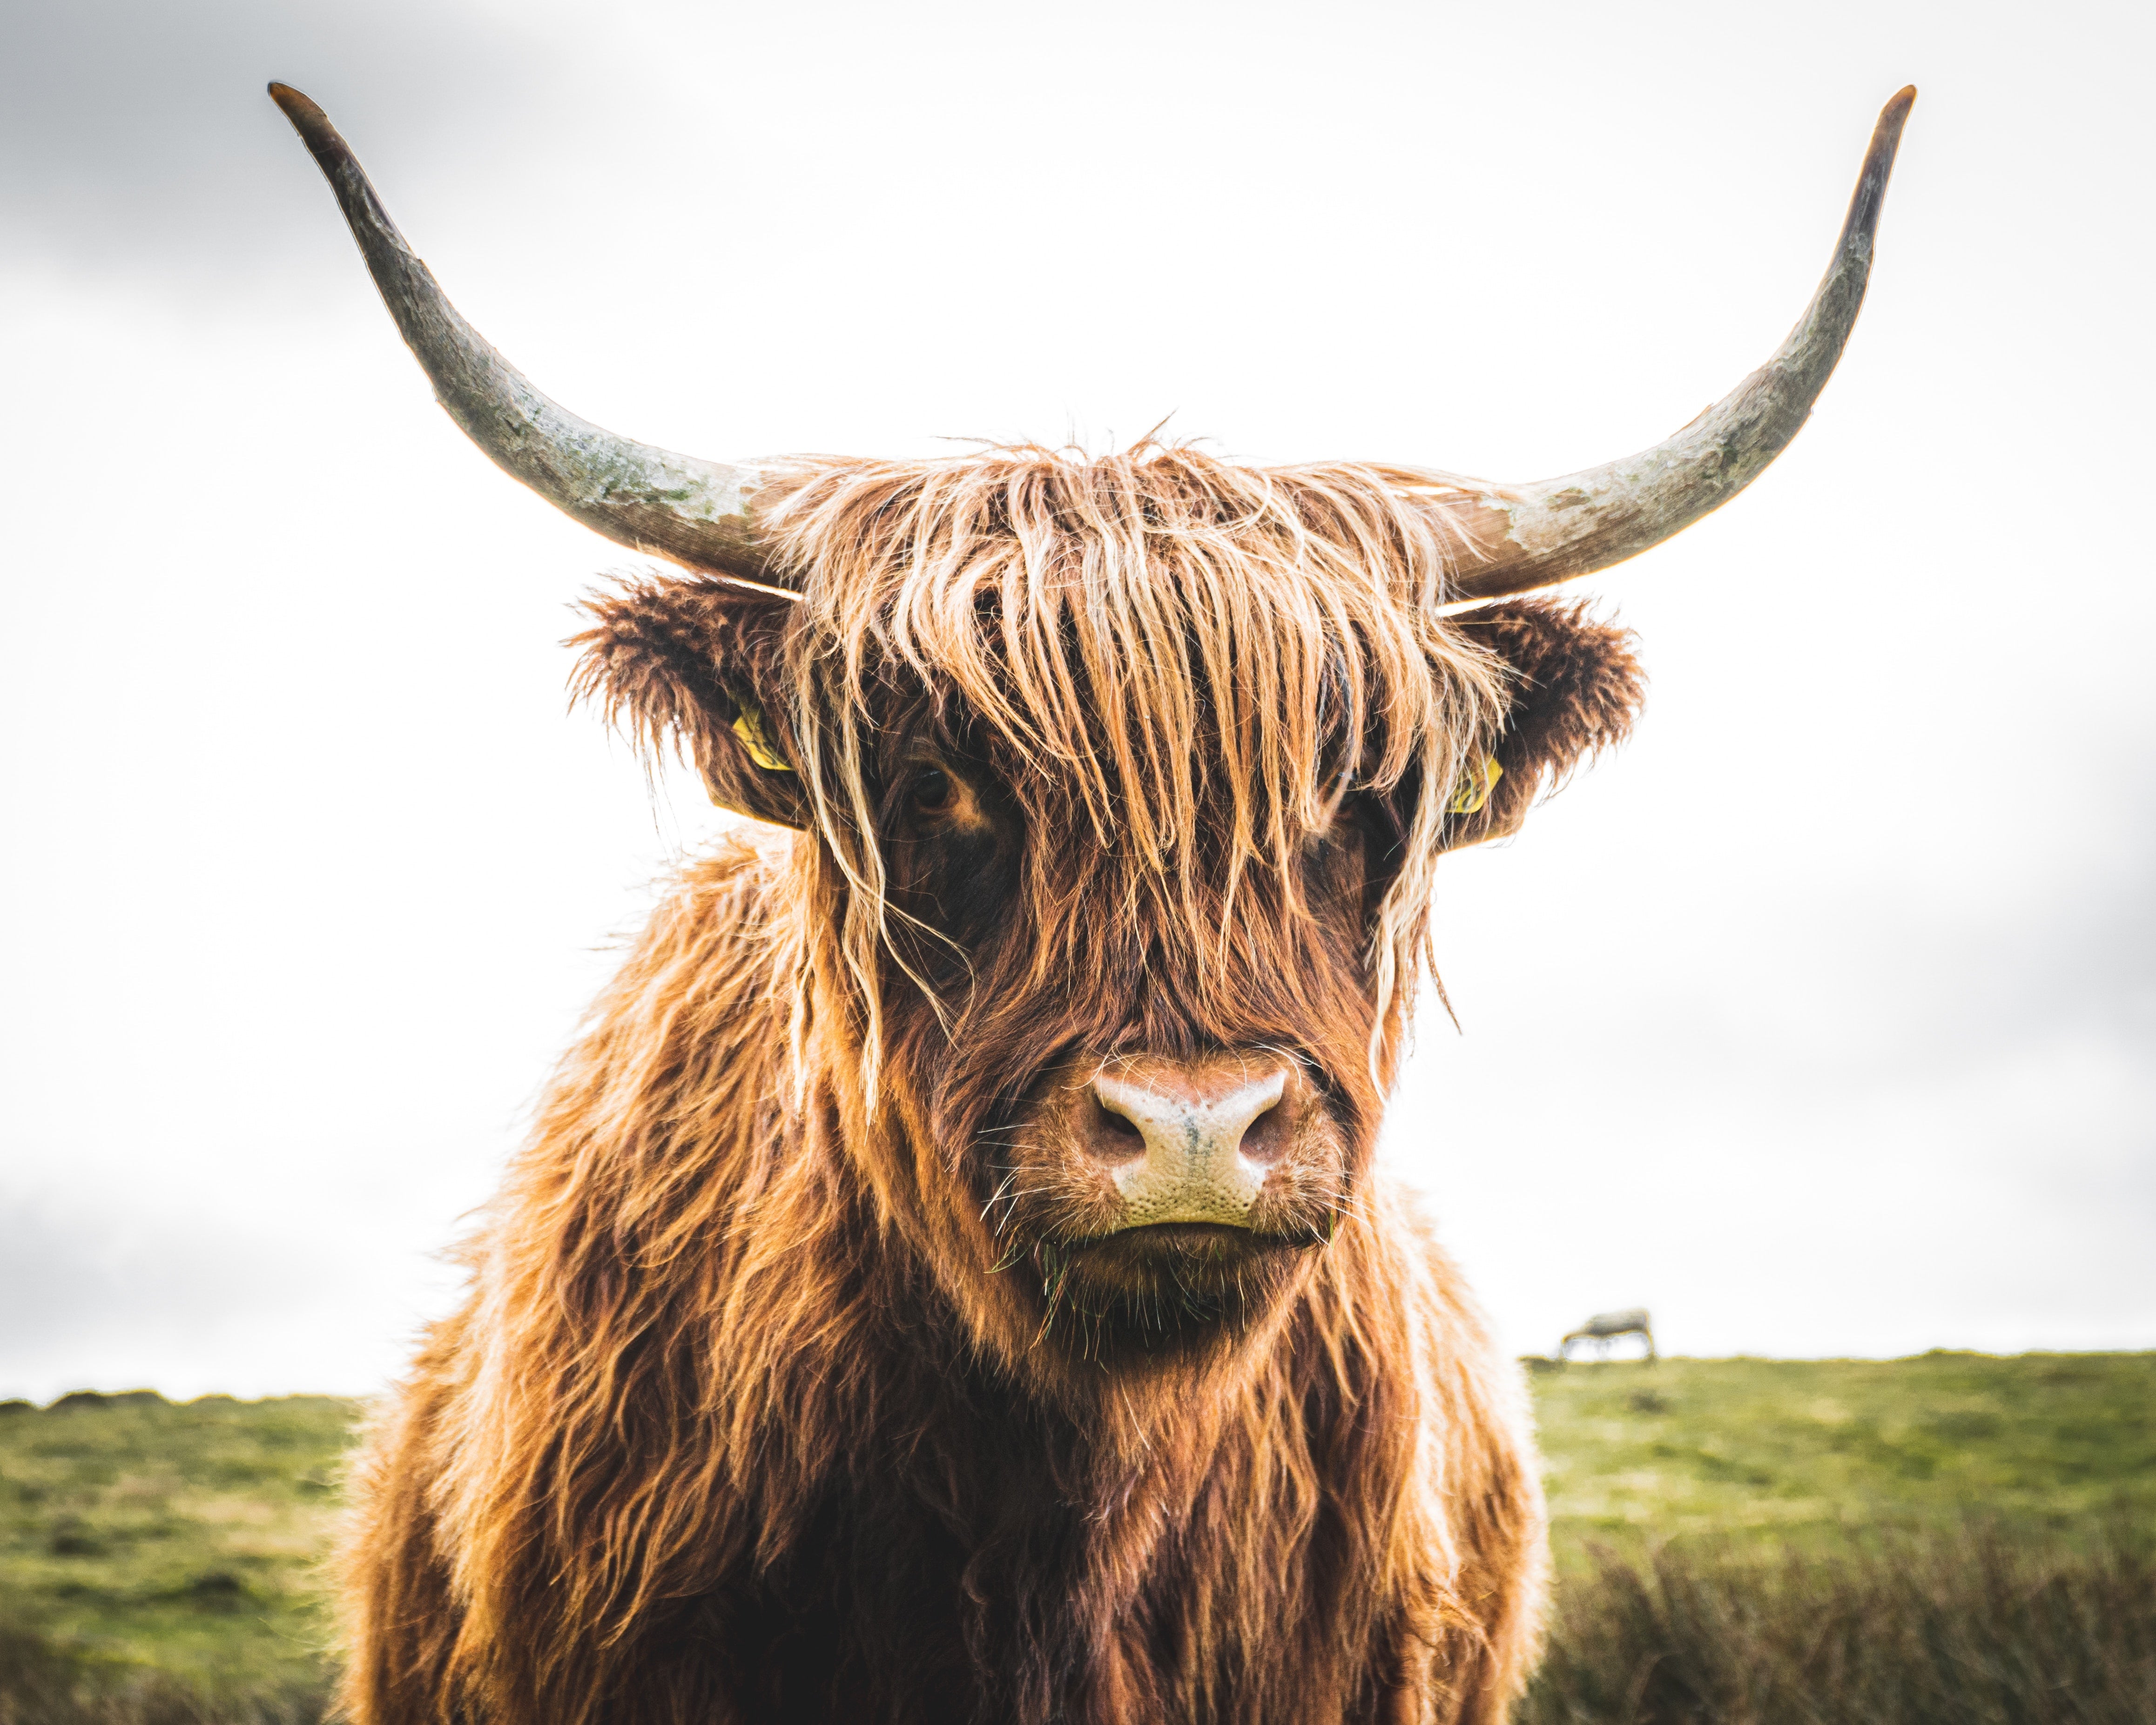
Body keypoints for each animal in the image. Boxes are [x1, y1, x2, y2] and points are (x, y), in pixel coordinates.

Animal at [1561, 1311, 1656, 1371]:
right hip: (1642, 1329)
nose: (1564, 1356)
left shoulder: (1601, 1335)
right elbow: (1603, 1347)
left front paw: (1603, 1360)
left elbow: (1600, 1348)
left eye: (1564, 1345)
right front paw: (1604, 1359)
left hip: (1643, 1328)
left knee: (1650, 1339)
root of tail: (1645, 1312)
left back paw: (1650, 1354)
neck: (1587, 1329)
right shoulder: (1603, 1336)